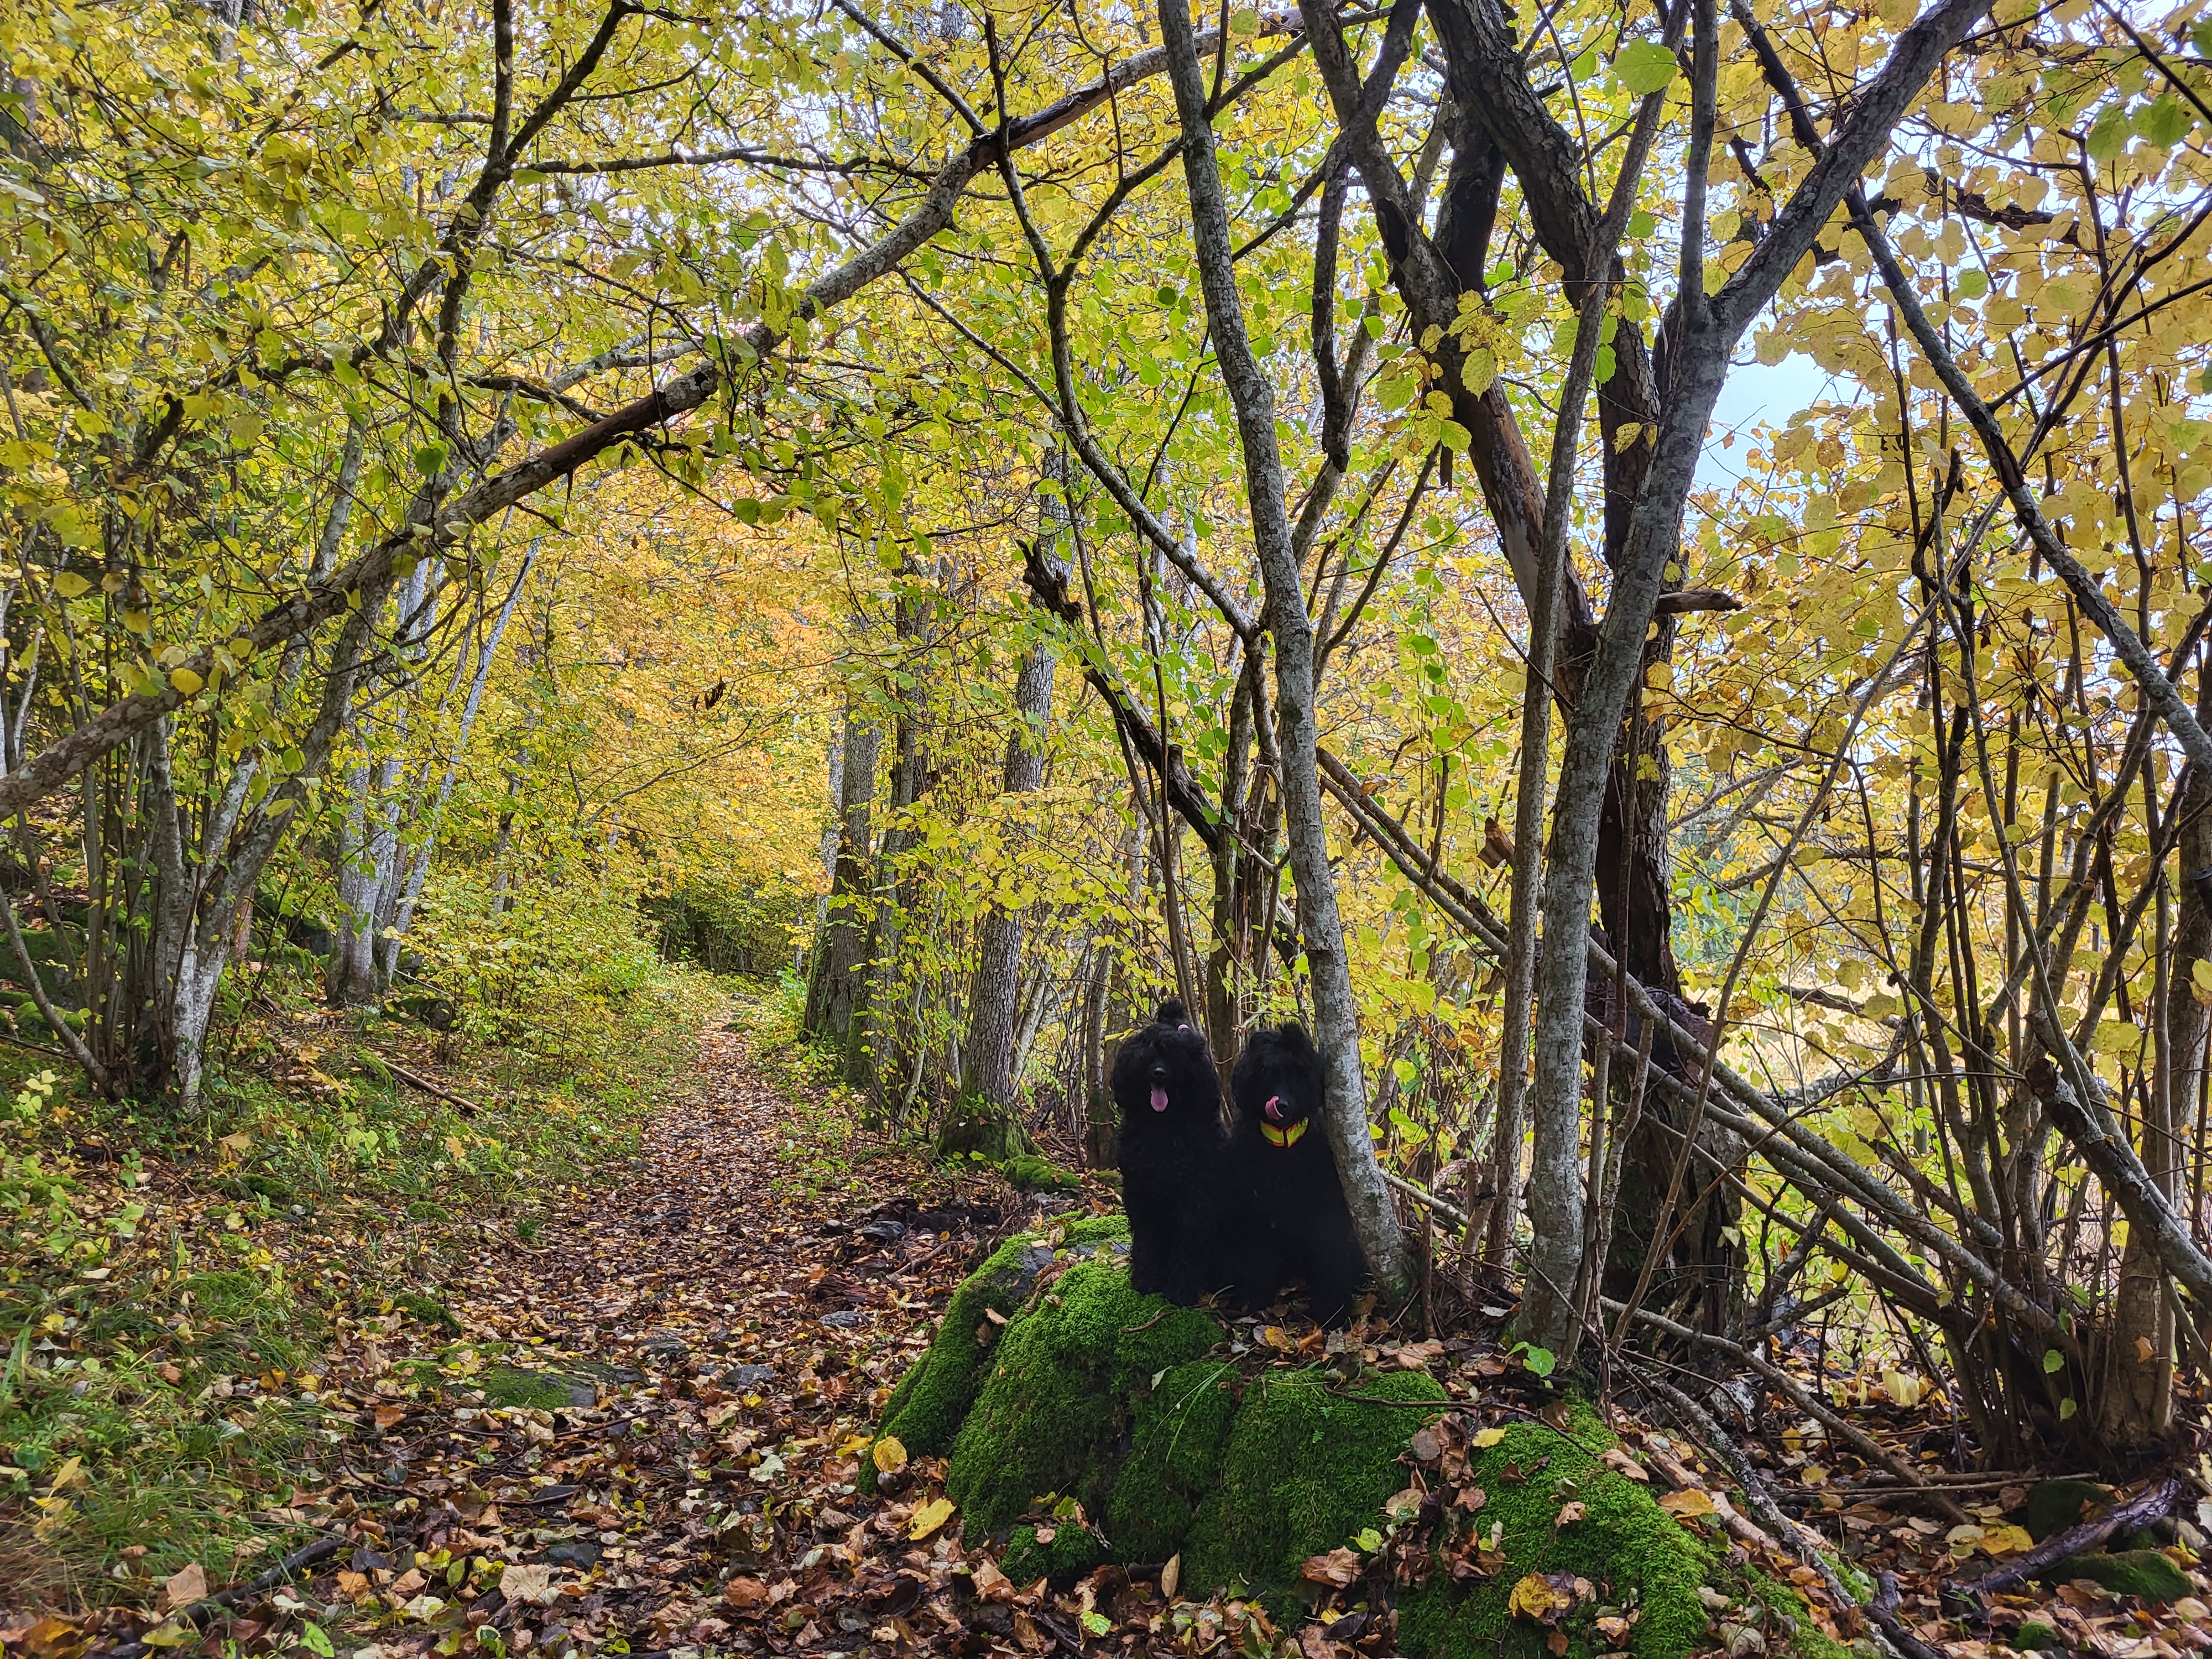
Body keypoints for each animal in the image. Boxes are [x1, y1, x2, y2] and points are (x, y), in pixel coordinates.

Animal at [1115, 1000, 1239, 1310]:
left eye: (1178, 1056)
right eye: (1150, 1050)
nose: (1159, 1073)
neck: (1164, 1125)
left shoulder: (1194, 1199)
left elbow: (1189, 1245)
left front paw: (1180, 1291)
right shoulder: (1140, 1195)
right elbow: (1148, 1241)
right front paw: (1145, 1281)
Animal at [1230, 1022, 1363, 1336]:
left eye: (1299, 1075)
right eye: (1265, 1072)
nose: (1281, 1105)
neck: (1284, 1147)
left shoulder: (1329, 1215)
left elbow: (1332, 1259)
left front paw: (1332, 1312)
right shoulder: (1253, 1213)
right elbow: (1255, 1258)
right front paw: (1252, 1299)